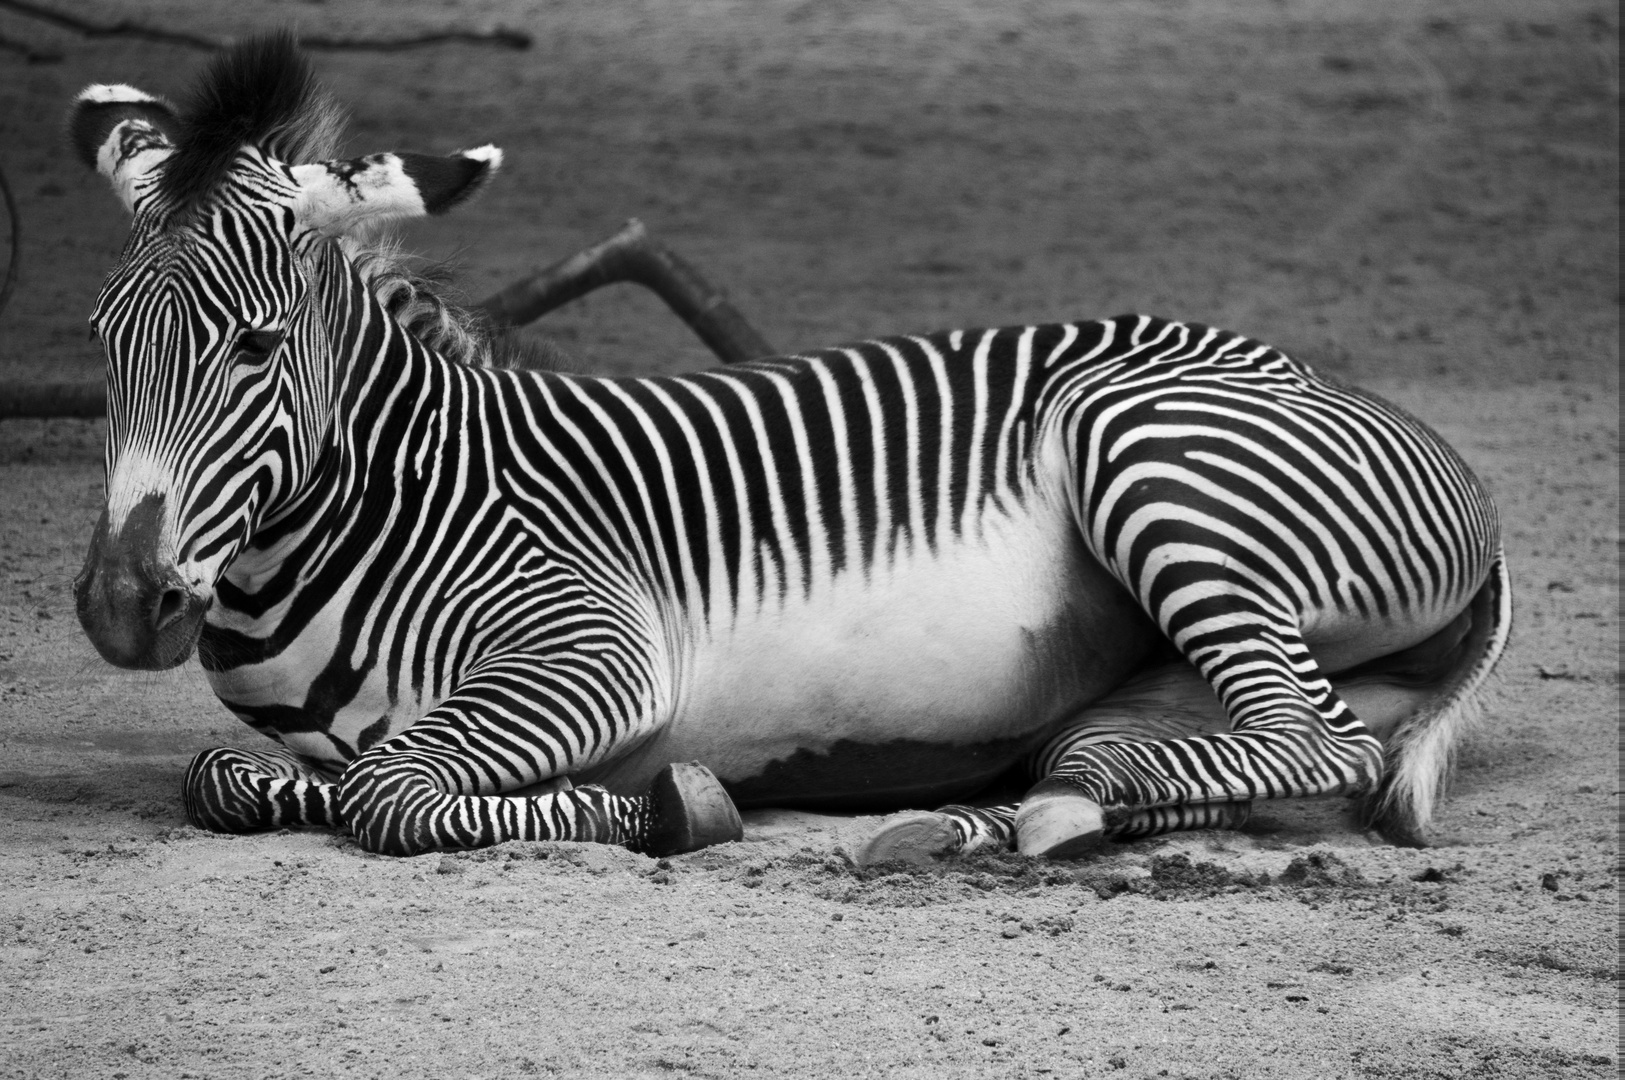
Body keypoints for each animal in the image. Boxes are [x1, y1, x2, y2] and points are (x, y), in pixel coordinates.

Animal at [63, 35, 1508, 857]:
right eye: (97, 336)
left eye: (254, 347)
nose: (124, 609)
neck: (392, 499)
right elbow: (226, 778)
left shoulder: (592, 652)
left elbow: (390, 796)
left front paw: (656, 809)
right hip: (1139, 692)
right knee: (1130, 765)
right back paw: (967, 824)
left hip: (1145, 450)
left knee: (1320, 743)